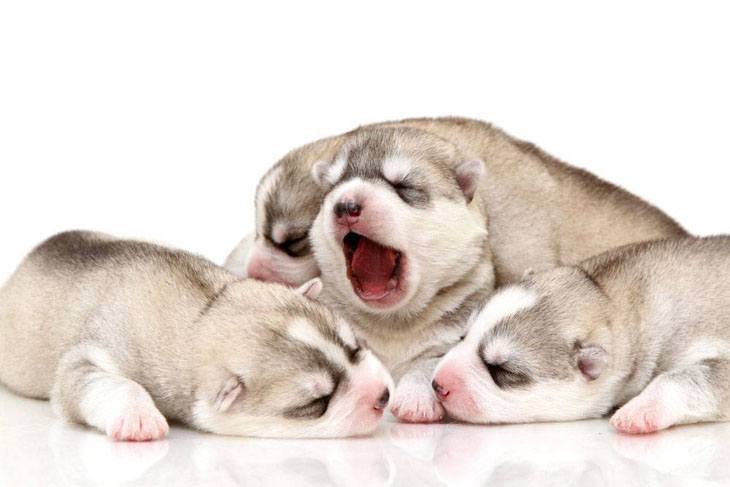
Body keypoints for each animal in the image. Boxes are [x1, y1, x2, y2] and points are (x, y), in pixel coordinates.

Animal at [0, 233, 392, 442]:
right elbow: (92, 381)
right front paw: (139, 419)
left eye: (354, 346)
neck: (200, 315)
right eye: (317, 402)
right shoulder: (88, 355)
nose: (384, 396)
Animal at [430, 237, 728, 434]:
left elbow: (684, 378)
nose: (437, 384)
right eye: (462, 337)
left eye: (503, 370)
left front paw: (639, 409)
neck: (609, 297)